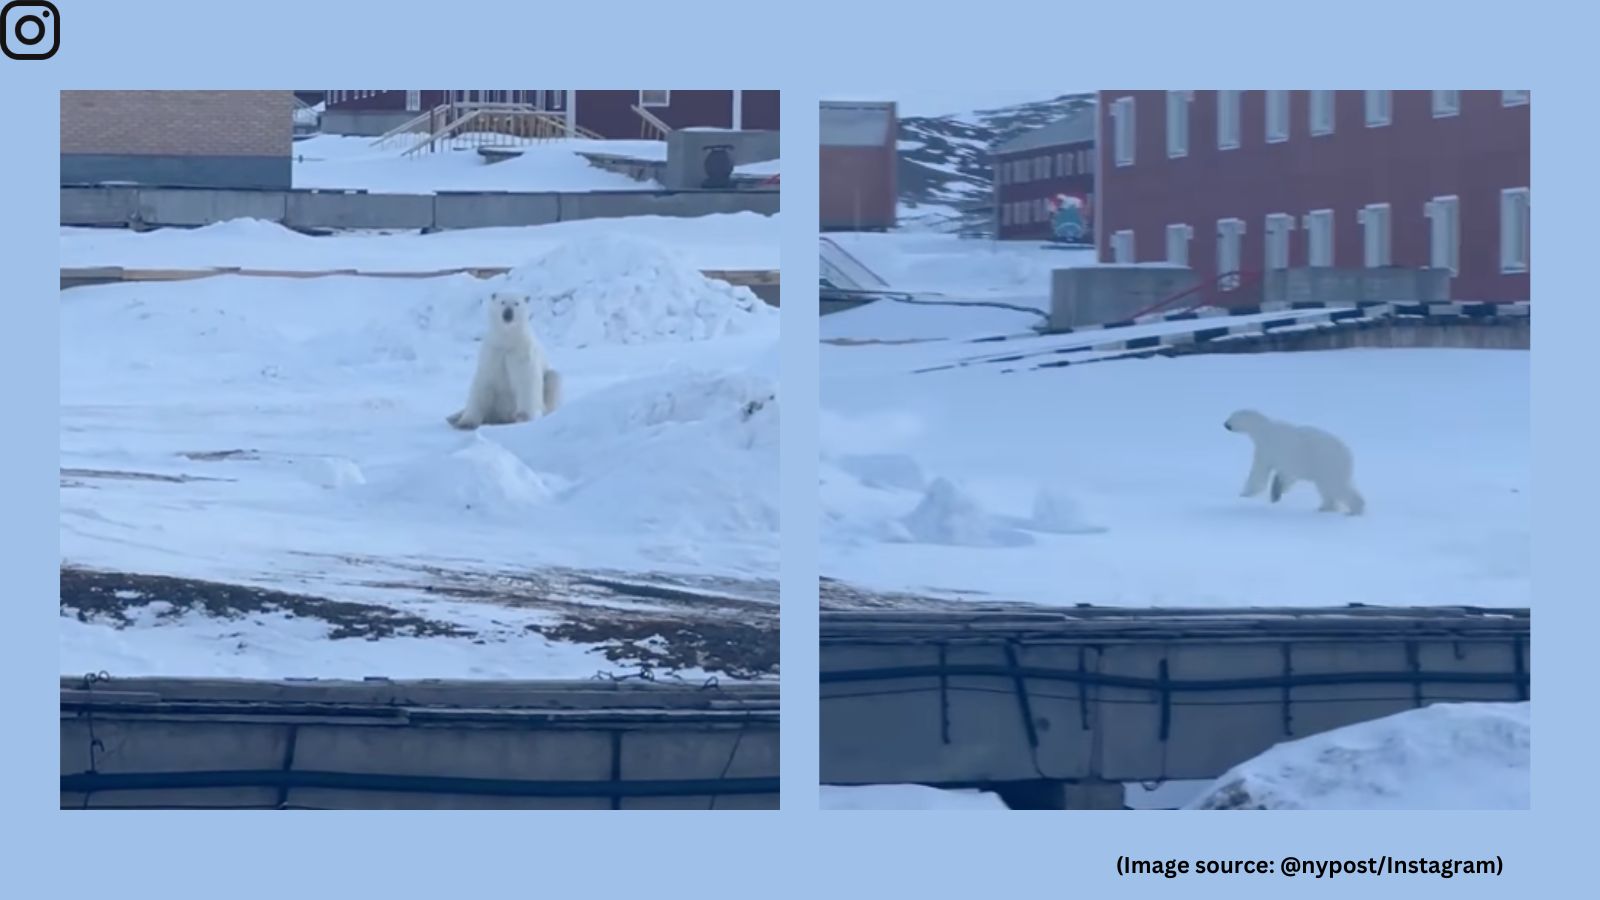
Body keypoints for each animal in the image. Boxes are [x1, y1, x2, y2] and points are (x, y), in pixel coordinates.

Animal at [446, 291, 562, 430]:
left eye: (516, 303)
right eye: (502, 302)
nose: (508, 313)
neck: (507, 342)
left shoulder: (522, 353)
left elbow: (526, 381)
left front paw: (523, 417)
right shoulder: (493, 353)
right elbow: (482, 383)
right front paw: (466, 423)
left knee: (553, 378)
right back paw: (453, 417)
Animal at [1223, 409, 1365, 515]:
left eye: (1231, 417)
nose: (1225, 424)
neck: (1264, 429)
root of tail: (1348, 455)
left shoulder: (1272, 448)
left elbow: (1261, 471)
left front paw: (1245, 494)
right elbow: (1284, 474)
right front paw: (1276, 492)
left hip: (1328, 462)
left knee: (1337, 486)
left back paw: (1354, 510)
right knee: (1327, 488)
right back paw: (1324, 508)